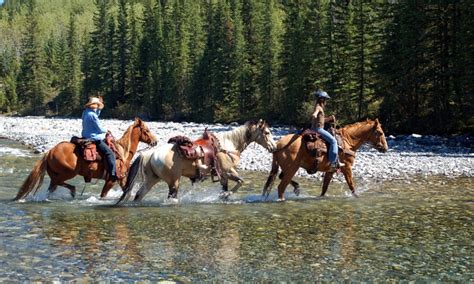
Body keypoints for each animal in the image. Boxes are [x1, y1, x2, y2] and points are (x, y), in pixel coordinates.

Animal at [13, 116, 158, 201]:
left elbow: (125, 190)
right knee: (57, 183)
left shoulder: (121, 179)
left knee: (53, 187)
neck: (123, 151)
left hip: (57, 174)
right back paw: (73, 191)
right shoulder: (111, 180)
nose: (155, 141)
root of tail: (49, 152)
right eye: (147, 130)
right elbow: (103, 195)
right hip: (68, 172)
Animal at [116, 118, 276, 203]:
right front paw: (227, 195)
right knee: (170, 197)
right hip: (173, 182)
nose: (274, 147)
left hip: (151, 179)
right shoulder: (228, 172)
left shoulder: (223, 177)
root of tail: (149, 153)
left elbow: (227, 189)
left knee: (138, 195)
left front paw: (224, 196)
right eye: (267, 132)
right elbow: (240, 182)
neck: (227, 145)